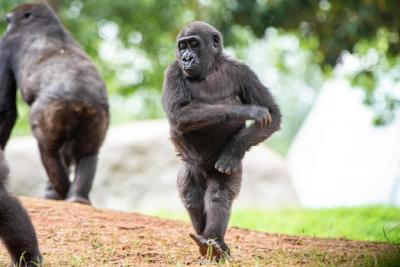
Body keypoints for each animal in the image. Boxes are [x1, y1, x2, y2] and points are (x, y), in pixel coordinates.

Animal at [0, 2, 108, 205]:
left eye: (9, 22)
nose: (8, 25)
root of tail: (81, 102)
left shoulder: (6, 44)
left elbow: (4, 109)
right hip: (97, 115)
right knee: (88, 154)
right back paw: (77, 197)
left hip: (52, 110)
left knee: (48, 151)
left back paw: (60, 192)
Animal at [162, 22, 282, 260]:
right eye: (182, 46)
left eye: (194, 44)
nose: (186, 58)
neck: (210, 69)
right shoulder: (172, 71)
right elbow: (180, 113)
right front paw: (245, 110)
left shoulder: (244, 71)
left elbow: (273, 114)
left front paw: (233, 150)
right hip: (188, 169)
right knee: (192, 199)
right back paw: (206, 243)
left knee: (219, 195)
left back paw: (213, 242)